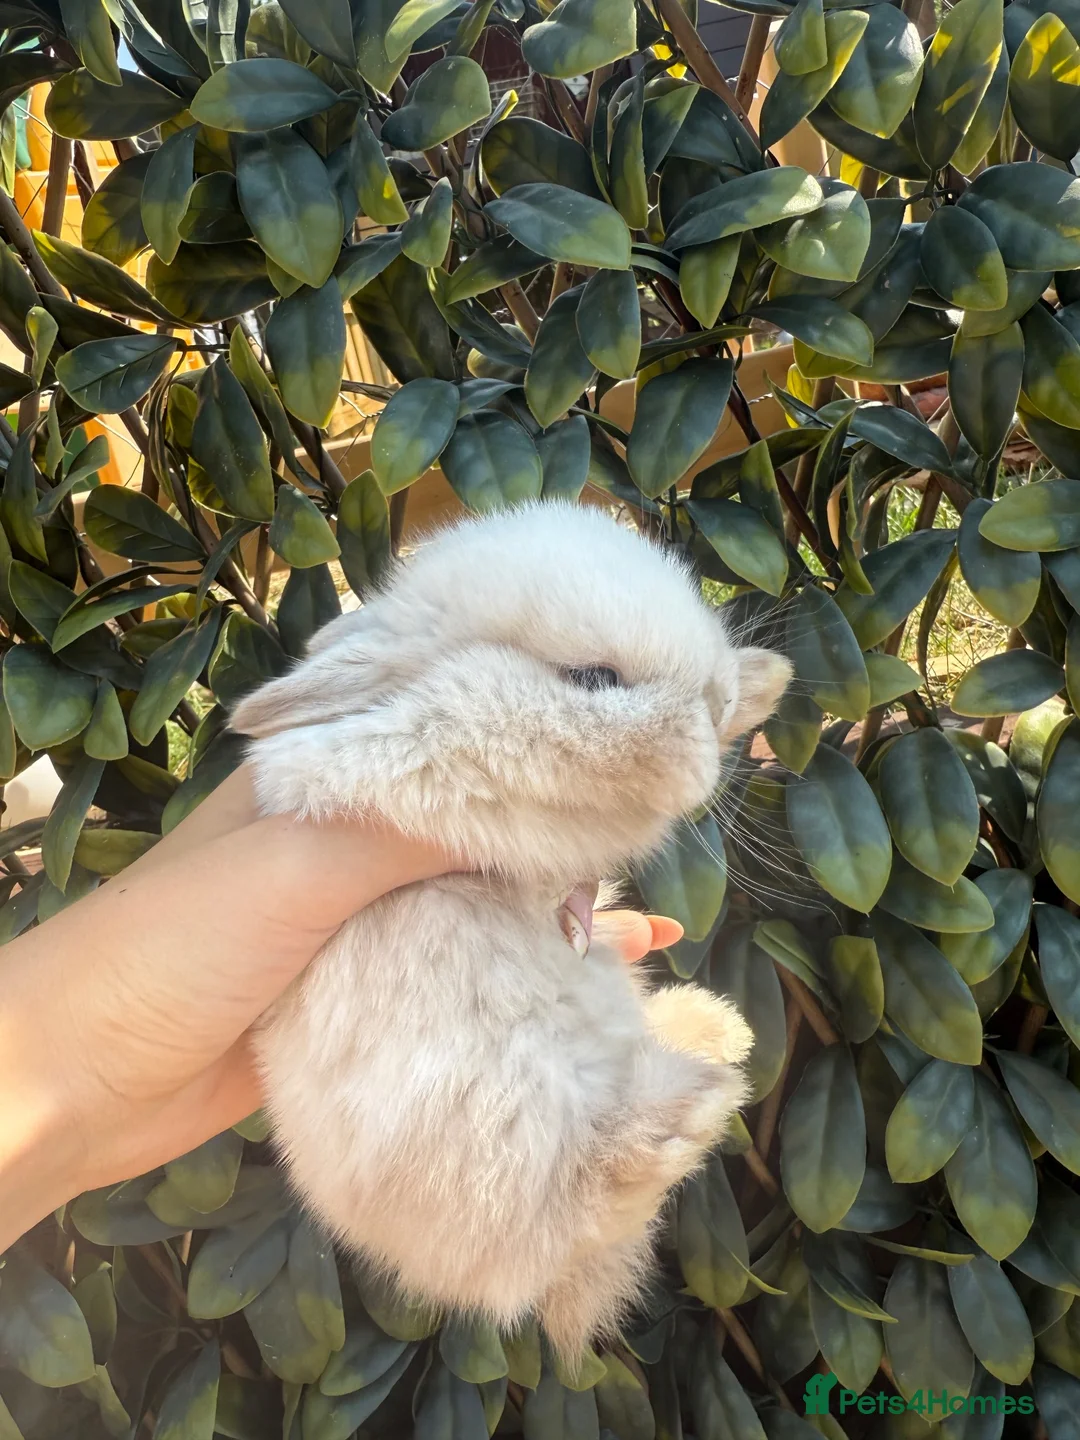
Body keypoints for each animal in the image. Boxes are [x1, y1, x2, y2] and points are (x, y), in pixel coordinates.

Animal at [232, 500, 791, 1356]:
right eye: (594, 678)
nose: (715, 703)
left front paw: (765, 677)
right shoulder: (452, 778)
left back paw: (713, 1031)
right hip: (489, 1131)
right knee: (570, 1209)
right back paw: (686, 1111)